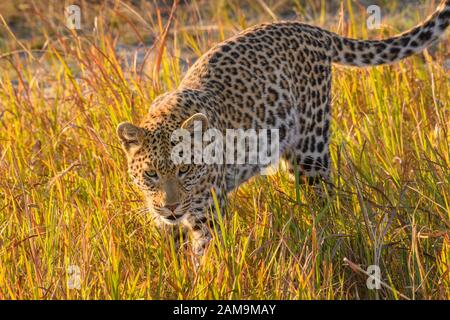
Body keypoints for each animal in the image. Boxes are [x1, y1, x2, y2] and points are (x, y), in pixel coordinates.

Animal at [117, 0, 450, 255]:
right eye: (151, 174)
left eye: (185, 170)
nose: (172, 208)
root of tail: (310, 29)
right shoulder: (166, 223)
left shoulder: (208, 216)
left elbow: (207, 260)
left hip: (311, 153)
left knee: (326, 199)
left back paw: (328, 235)